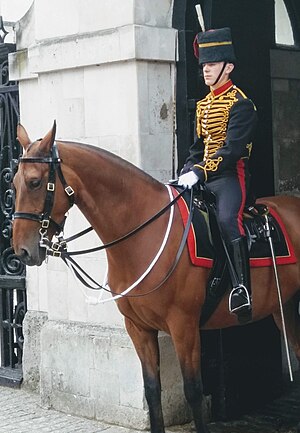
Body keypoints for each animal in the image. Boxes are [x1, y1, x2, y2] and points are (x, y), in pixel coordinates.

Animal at [11, 122, 300, 432]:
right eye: (13, 184)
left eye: (35, 182)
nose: (22, 251)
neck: (142, 232)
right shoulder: (138, 328)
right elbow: (152, 391)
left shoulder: (184, 326)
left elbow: (193, 391)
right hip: (284, 308)